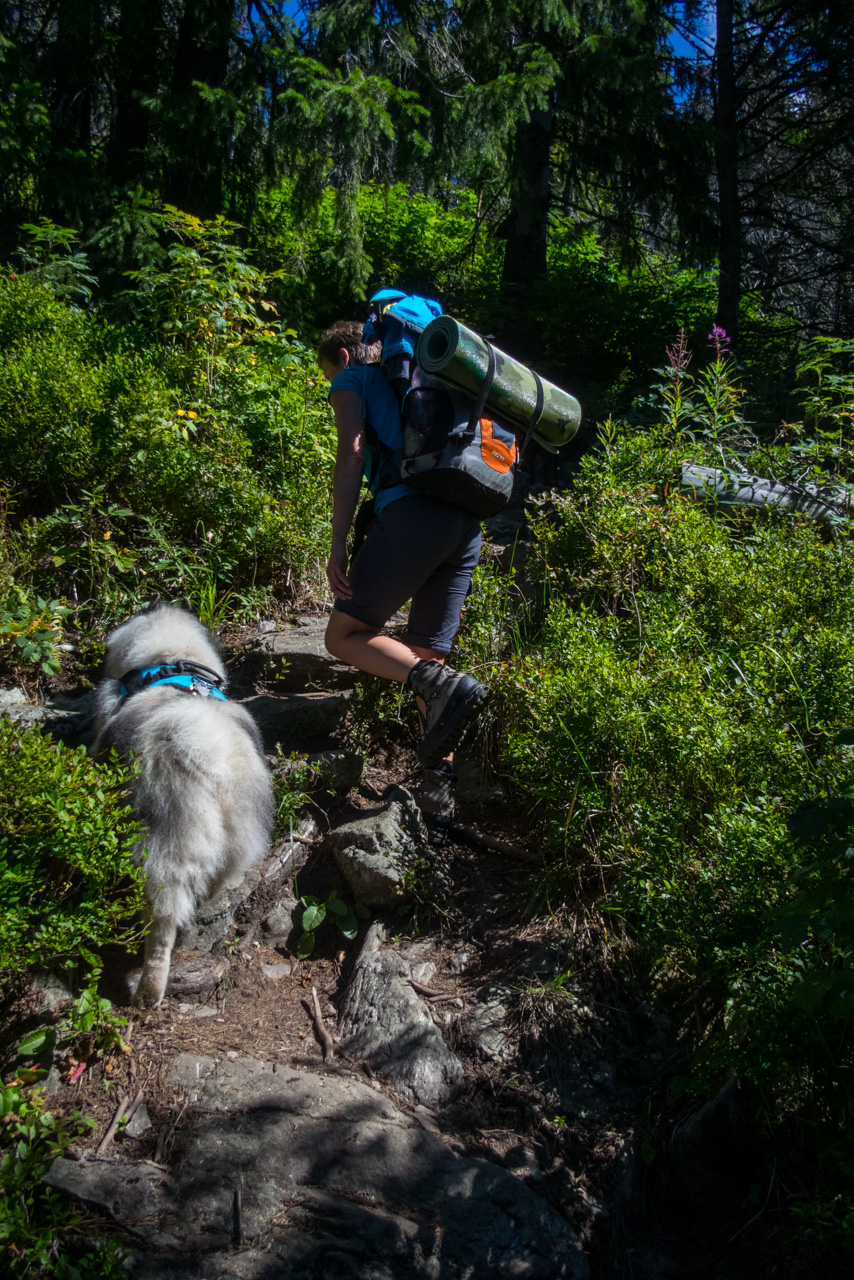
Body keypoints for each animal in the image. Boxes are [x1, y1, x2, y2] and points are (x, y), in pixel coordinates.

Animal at [94, 601, 273, 1008]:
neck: (171, 661)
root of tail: (210, 749)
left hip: (168, 845)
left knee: (163, 922)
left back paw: (149, 990)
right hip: (239, 839)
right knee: (214, 882)